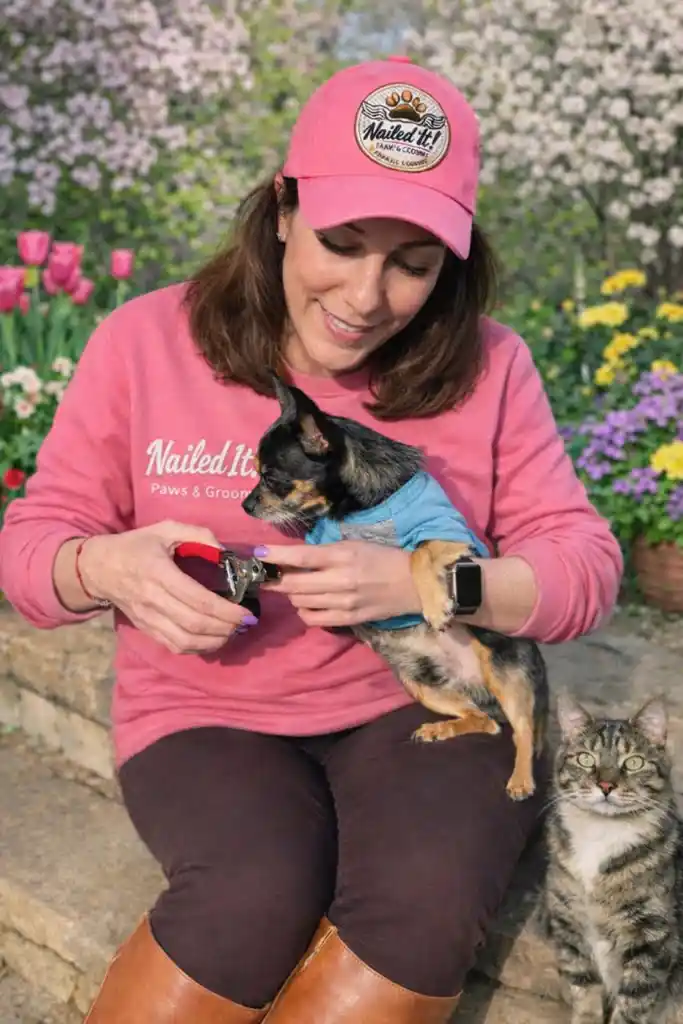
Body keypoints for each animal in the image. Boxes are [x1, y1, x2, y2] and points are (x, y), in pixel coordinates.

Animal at [242, 375, 549, 800]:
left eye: (272, 478)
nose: (246, 505)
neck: (356, 509)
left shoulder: (453, 537)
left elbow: (418, 552)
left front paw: (435, 605)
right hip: (419, 684)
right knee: (484, 721)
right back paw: (442, 728)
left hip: (506, 672)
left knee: (522, 732)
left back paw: (520, 779)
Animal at [541, 693, 682, 1024]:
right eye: (585, 759)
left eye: (633, 762)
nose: (606, 786)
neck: (601, 833)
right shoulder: (568, 921)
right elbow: (584, 988)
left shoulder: (653, 937)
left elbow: (634, 1003)